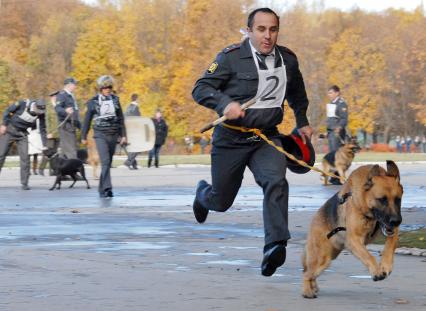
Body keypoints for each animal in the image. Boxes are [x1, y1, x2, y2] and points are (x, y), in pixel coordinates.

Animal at [302, 162, 402, 298]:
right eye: (382, 199)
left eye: (398, 199)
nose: (396, 221)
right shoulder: (354, 239)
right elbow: (368, 255)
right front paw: (376, 271)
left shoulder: (392, 232)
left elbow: (389, 247)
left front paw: (385, 266)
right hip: (322, 259)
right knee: (306, 274)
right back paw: (307, 291)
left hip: (328, 258)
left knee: (311, 274)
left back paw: (313, 287)